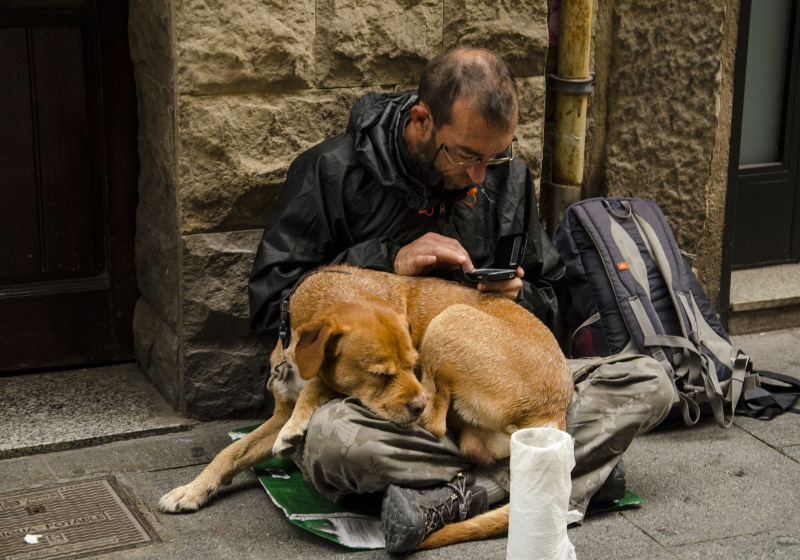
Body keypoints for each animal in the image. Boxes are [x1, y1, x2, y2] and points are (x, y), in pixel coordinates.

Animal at [156, 264, 572, 548]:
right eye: (379, 373)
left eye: (414, 364)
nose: (416, 402)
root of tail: (554, 412)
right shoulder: (277, 413)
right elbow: (231, 452)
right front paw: (191, 491)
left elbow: (319, 386)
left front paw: (299, 424)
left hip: (449, 321)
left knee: (437, 425)